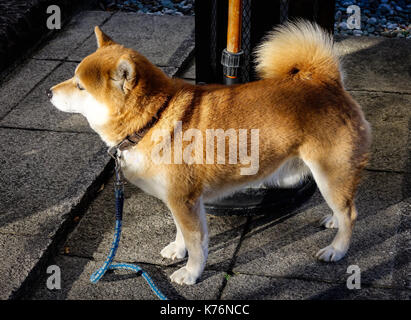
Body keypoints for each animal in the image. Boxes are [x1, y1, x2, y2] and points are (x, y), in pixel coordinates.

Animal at [49, 20, 374, 284]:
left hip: (330, 173)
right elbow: (181, 233)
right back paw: (332, 220)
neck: (154, 118)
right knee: (344, 208)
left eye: (80, 86)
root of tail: (327, 82)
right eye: (73, 78)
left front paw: (191, 273)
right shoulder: (179, 200)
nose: (49, 92)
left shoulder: (185, 201)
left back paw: (336, 249)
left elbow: (197, 245)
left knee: (351, 213)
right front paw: (177, 250)